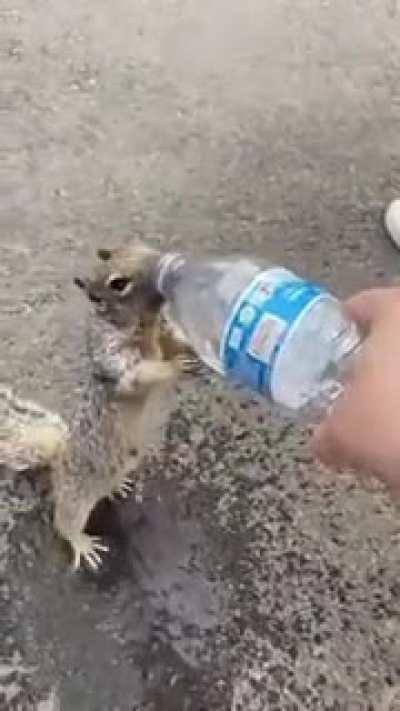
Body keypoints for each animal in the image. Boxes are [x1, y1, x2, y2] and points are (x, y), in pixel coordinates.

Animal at [0, 242, 197, 571]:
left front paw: (190, 346)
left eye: (140, 246)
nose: (165, 265)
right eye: (118, 284)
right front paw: (175, 366)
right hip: (76, 497)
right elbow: (141, 374)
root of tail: (58, 460)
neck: (144, 327)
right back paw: (81, 543)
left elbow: (170, 343)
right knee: (64, 522)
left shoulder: (159, 336)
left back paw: (117, 487)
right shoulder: (115, 360)